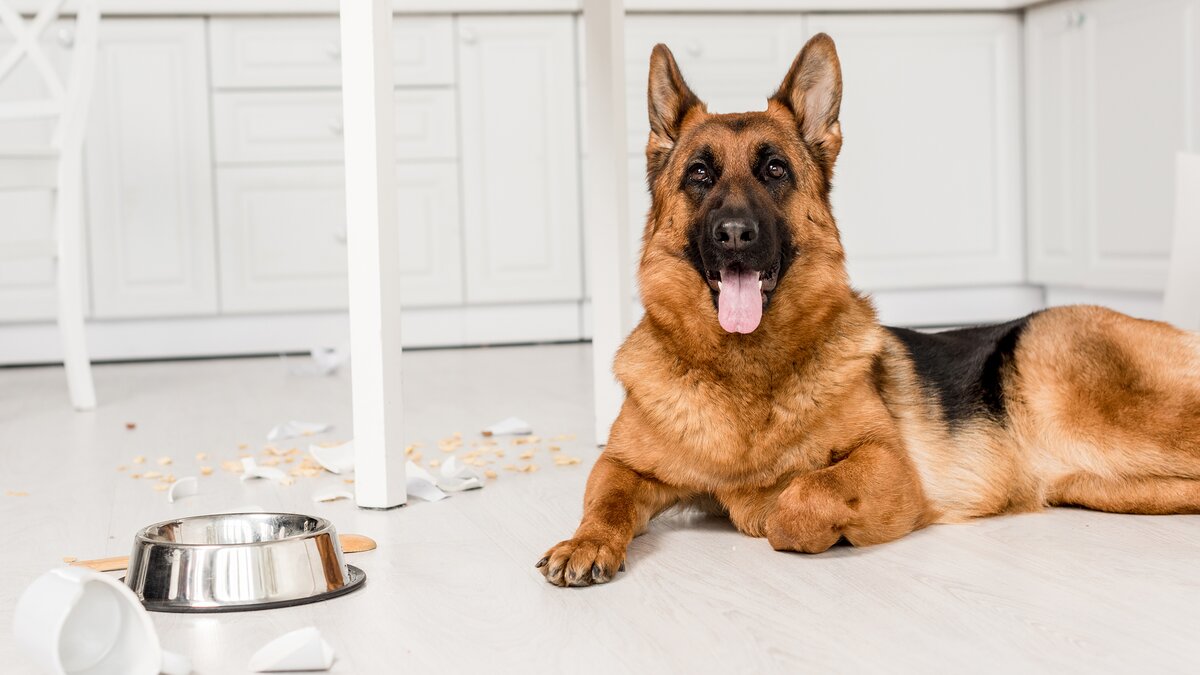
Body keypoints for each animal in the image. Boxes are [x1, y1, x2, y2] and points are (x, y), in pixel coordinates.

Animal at [537, 35, 1200, 583]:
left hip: (1086, 399)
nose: (734, 235)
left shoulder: (886, 464)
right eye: (699, 174)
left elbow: (799, 500)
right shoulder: (623, 465)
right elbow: (604, 498)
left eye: (774, 169)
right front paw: (586, 541)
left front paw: (772, 507)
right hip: (1101, 484)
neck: (742, 374)